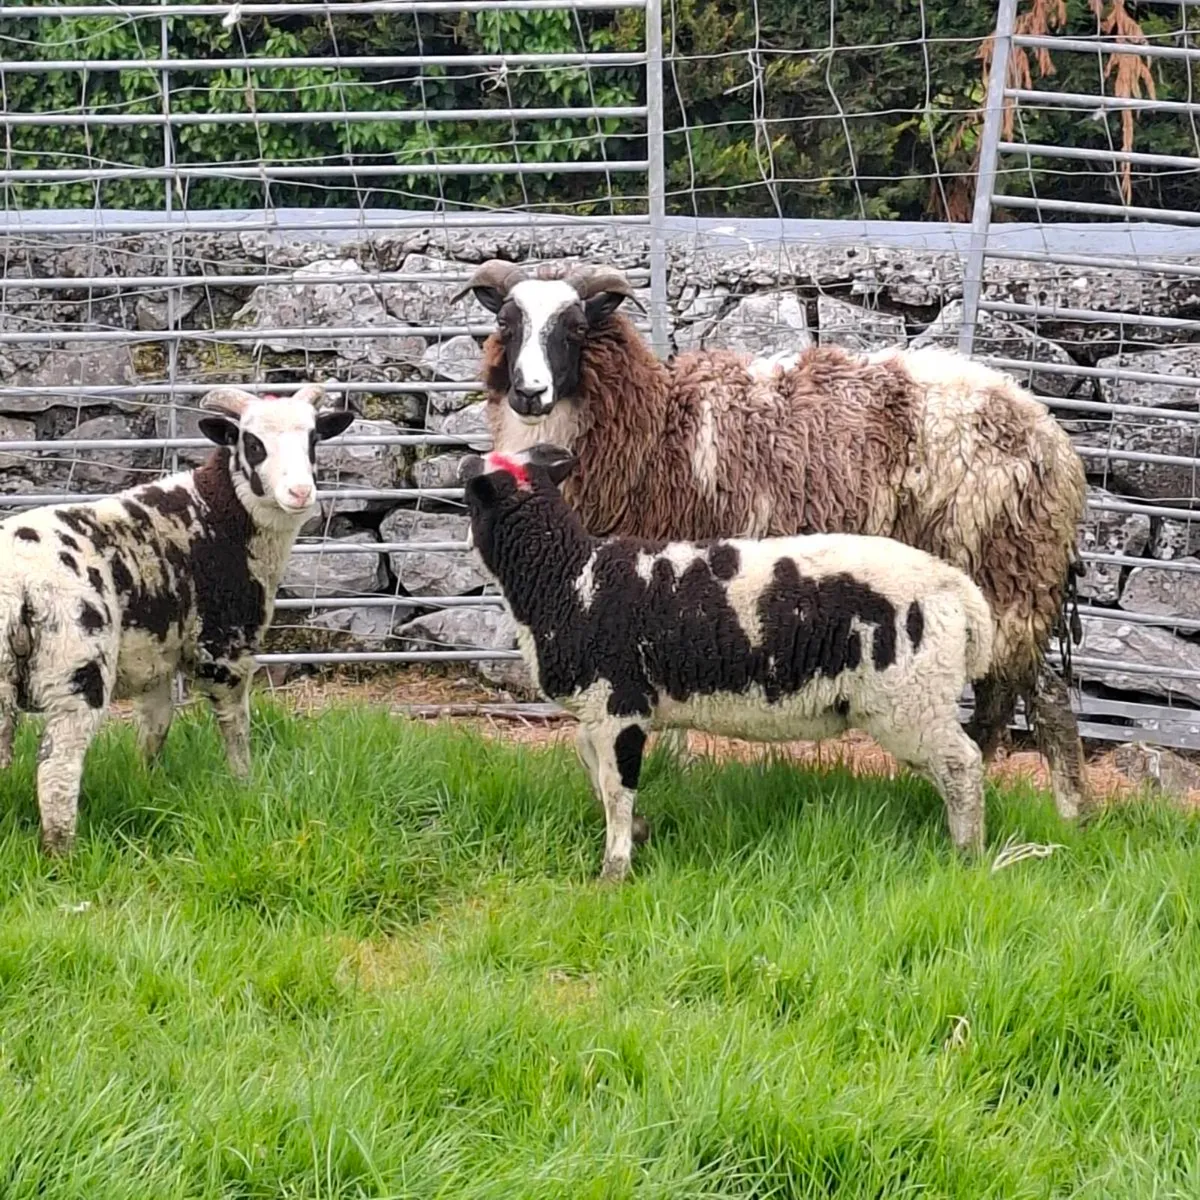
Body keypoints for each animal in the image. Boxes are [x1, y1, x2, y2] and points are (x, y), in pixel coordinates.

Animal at [0, 383, 354, 854]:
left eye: (314, 438)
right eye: (252, 443)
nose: (300, 493)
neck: (219, 513)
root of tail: (16, 581)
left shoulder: (153, 659)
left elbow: (154, 730)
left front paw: (145, 786)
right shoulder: (224, 649)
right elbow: (235, 727)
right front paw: (244, 785)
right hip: (76, 667)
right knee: (58, 768)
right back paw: (62, 852)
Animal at [452, 260, 1089, 828]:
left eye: (576, 328)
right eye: (506, 322)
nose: (529, 392)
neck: (655, 430)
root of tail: (1048, 432)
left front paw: (672, 774)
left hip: (1007, 576)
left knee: (1045, 697)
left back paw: (1068, 818)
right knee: (1004, 702)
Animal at [460, 443, 996, 883]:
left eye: (467, 494)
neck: (568, 579)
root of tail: (956, 587)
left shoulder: (620, 706)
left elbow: (616, 788)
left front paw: (614, 869)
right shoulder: (600, 711)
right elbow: (589, 764)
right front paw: (641, 830)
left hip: (911, 699)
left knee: (963, 765)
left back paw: (967, 853)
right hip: (916, 703)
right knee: (947, 769)